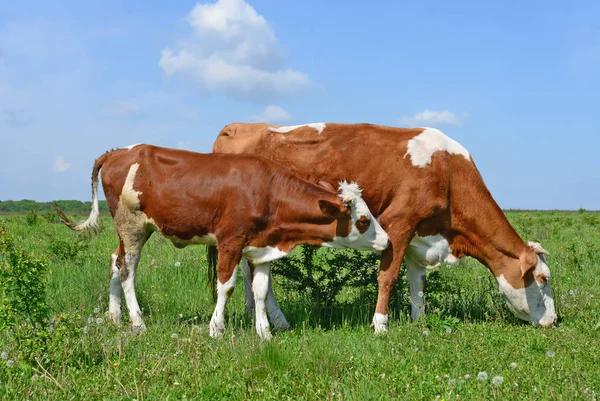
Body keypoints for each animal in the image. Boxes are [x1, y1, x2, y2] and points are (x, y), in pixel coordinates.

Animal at [55, 144, 390, 338]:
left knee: (115, 260)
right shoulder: (230, 241)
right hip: (131, 225)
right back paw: (137, 322)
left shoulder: (262, 246)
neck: (268, 192)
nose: (387, 241)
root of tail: (117, 152)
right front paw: (216, 328)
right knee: (127, 270)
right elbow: (226, 286)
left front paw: (265, 333)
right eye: (363, 220)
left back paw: (115, 316)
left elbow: (260, 289)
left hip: (134, 228)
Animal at [212, 123, 556, 330]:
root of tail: (239, 126)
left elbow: (418, 282)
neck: (446, 171)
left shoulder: (422, 234)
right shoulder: (399, 222)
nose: (554, 320)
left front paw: (420, 321)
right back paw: (276, 320)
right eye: (543, 278)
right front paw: (380, 324)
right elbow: (388, 277)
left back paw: (260, 317)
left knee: (251, 273)